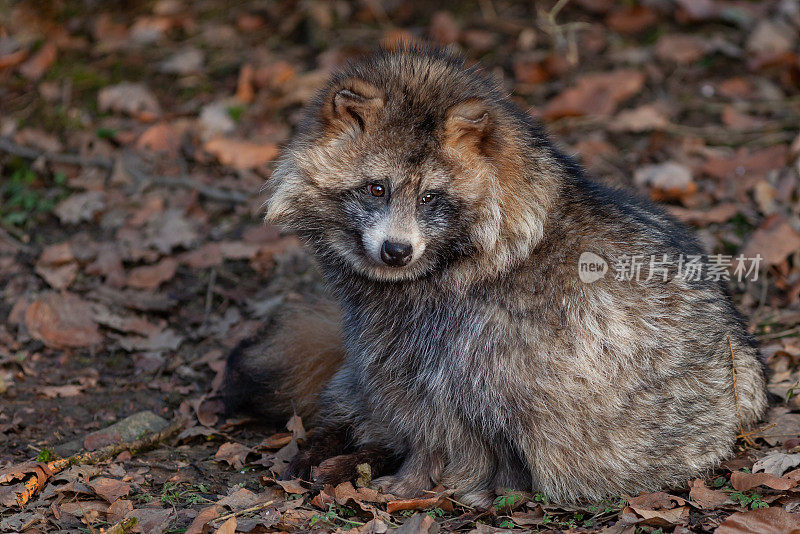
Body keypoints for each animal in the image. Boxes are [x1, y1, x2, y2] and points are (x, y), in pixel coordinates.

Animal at [223, 45, 764, 506]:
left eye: (430, 198)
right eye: (377, 188)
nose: (397, 251)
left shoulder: (484, 346)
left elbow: (455, 417)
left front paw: (428, 476)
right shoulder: (400, 340)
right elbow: (410, 403)